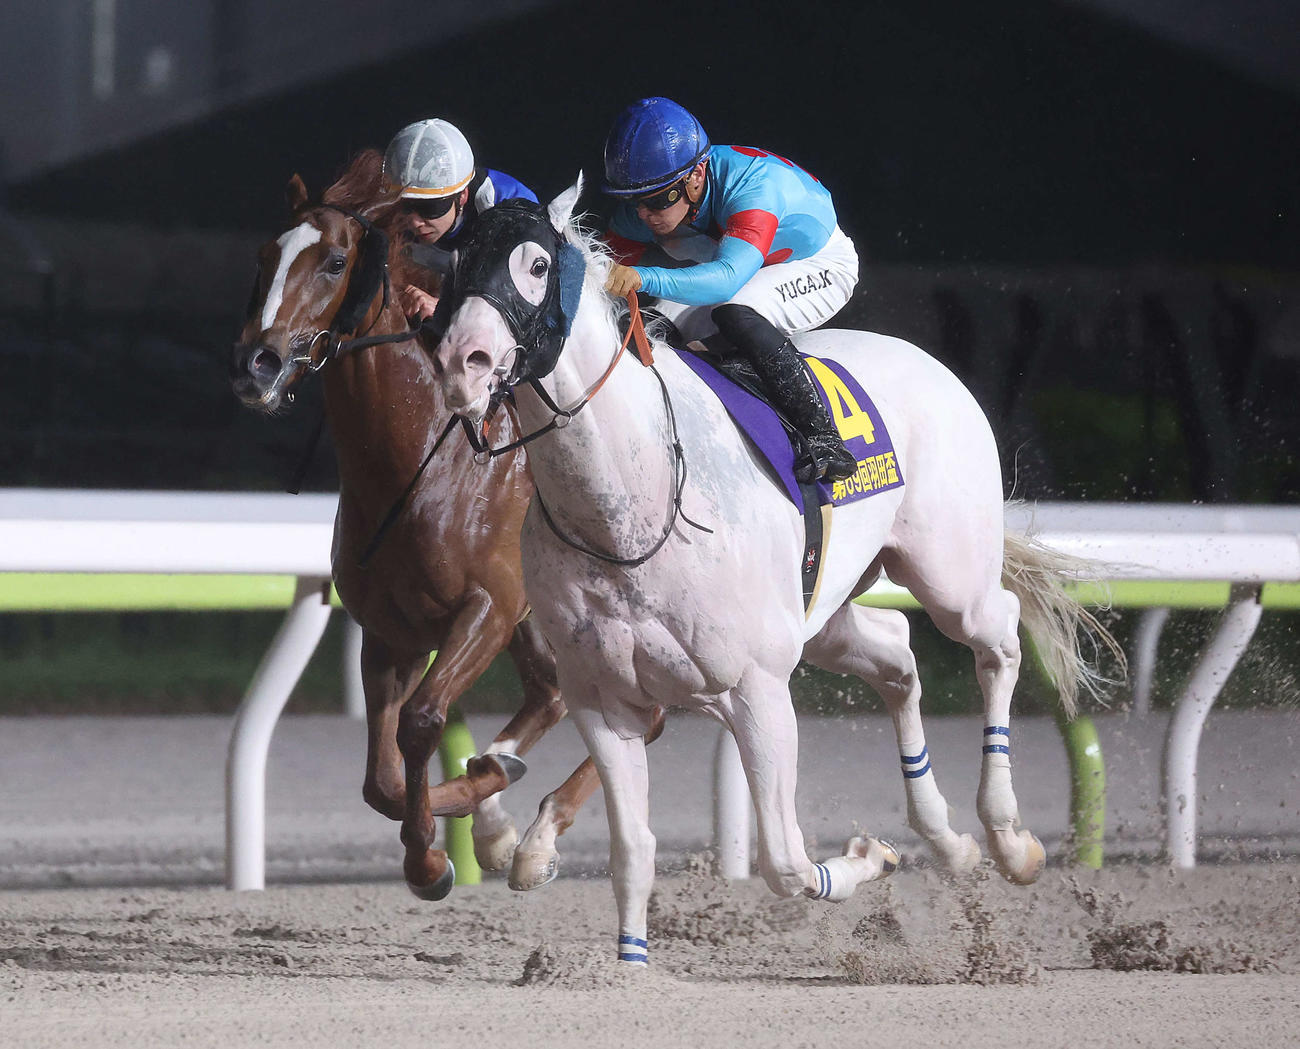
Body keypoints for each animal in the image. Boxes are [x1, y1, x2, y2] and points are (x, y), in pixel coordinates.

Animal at [230, 151, 615, 898]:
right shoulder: (391, 630)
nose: (255, 365)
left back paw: (534, 836)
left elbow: (423, 721)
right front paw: (467, 821)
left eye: (335, 261)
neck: (420, 464)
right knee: (551, 693)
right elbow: (380, 779)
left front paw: (437, 857)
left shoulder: (488, 607)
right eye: (264, 255)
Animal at [427, 181, 1118, 964]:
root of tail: (929, 362)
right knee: (897, 655)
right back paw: (950, 840)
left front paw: (871, 855)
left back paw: (1007, 838)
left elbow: (785, 861)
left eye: (538, 265)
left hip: (949, 574)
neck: (630, 506)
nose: (462, 361)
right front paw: (628, 963)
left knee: (996, 635)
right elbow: (632, 849)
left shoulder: (756, 688)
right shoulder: (602, 698)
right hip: (825, 615)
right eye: (456, 263)